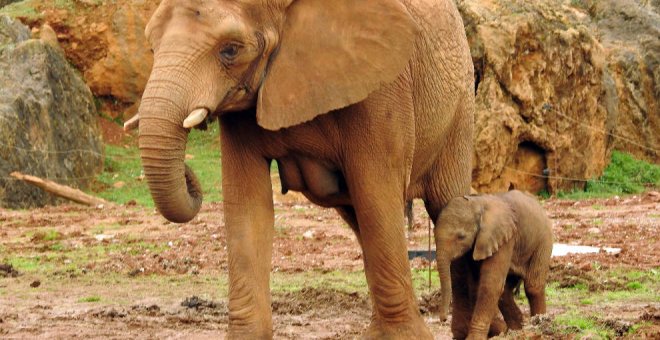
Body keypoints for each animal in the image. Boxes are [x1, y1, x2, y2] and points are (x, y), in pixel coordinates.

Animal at [125, 0, 474, 336]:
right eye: (152, 47)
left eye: (231, 50)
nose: (190, 173)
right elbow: (247, 207)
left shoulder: (382, 91)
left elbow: (376, 196)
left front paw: (404, 336)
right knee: (359, 221)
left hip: (459, 107)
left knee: (446, 206)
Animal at [436, 190, 556, 338]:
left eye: (461, 237)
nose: (443, 319)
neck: (479, 202)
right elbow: (476, 283)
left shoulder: (504, 237)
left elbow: (489, 284)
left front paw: (474, 338)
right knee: (506, 290)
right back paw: (516, 330)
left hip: (544, 241)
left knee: (533, 286)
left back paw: (539, 323)